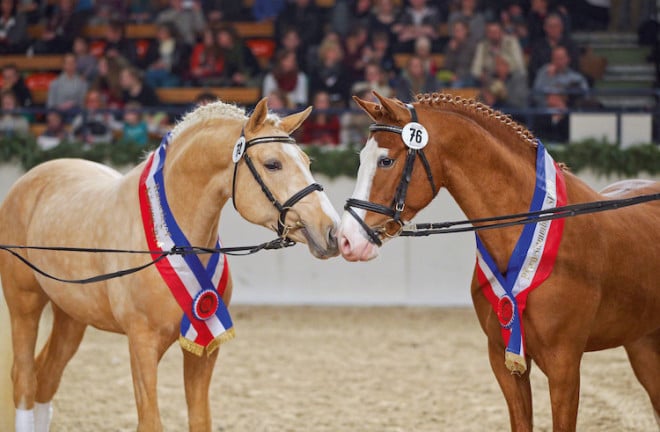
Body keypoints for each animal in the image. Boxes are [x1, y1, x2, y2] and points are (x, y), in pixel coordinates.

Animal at [0, 98, 340, 432]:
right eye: (272, 164)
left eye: (307, 161)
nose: (331, 231)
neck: (171, 241)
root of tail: (30, 178)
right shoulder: (142, 343)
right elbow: (151, 421)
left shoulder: (206, 346)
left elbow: (200, 419)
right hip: (25, 304)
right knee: (25, 379)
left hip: (72, 316)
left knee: (47, 378)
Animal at [338, 93, 656, 430]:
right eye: (362, 158)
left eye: (386, 161)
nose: (347, 239)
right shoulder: (504, 361)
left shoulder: (564, 365)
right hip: (643, 346)